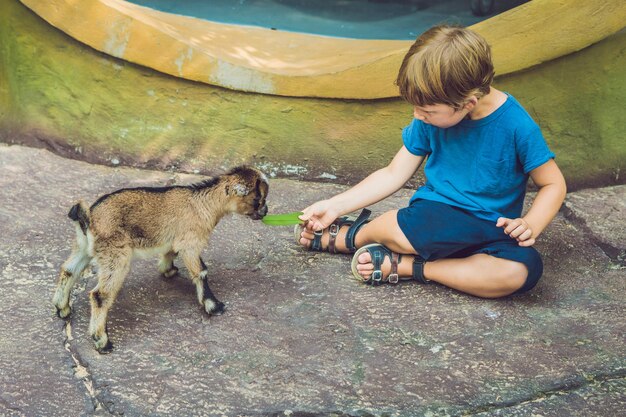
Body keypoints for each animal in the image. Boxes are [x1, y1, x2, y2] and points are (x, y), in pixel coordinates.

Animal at [52, 165, 266, 352]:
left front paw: (168, 270)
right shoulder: (191, 243)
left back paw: (63, 308)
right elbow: (201, 272)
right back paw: (102, 342)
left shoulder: (175, 240)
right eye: (258, 198)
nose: (265, 213)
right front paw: (214, 306)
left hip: (83, 248)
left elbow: (171, 252)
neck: (204, 203)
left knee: (68, 270)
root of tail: (89, 217)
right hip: (115, 255)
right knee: (100, 295)